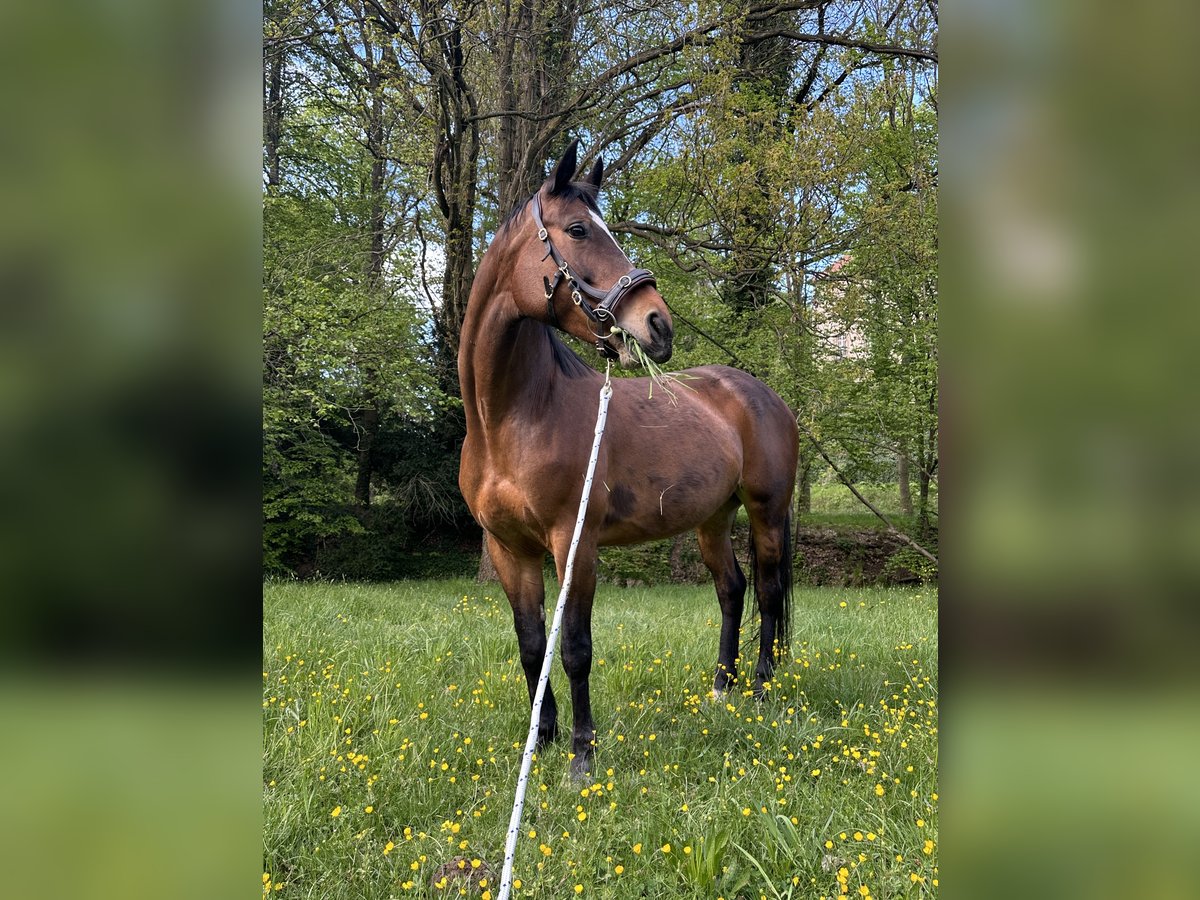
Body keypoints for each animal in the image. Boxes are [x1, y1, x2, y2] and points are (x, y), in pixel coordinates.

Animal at [458, 141, 796, 782]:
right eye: (578, 228)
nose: (658, 323)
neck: (511, 419)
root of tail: (761, 393)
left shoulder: (575, 543)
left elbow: (574, 649)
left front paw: (581, 757)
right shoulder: (508, 548)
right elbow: (532, 647)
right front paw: (540, 742)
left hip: (766, 512)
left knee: (766, 592)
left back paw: (764, 690)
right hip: (712, 520)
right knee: (732, 589)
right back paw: (722, 688)